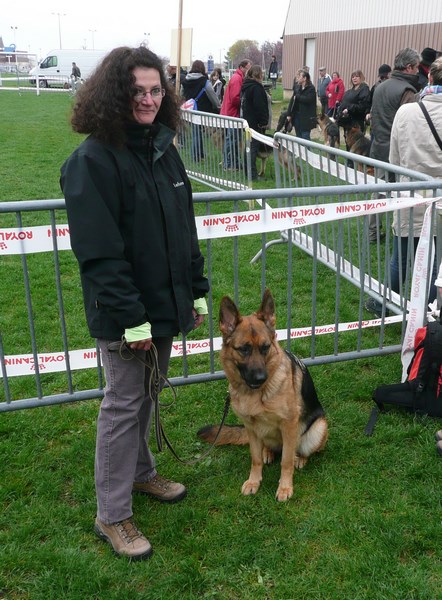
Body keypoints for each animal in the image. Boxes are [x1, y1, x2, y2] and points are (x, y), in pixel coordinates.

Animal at [197, 289, 328, 501]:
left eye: (265, 347)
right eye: (244, 349)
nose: (261, 377)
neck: (256, 395)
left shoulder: (289, 425)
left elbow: (286, 462)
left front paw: (285, 487)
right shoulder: (251, 427)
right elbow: (255, 458)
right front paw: (254, 481)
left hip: (318, 428)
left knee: (298, 450)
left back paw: (300, 458)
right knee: (269, 448)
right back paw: (268, 452)